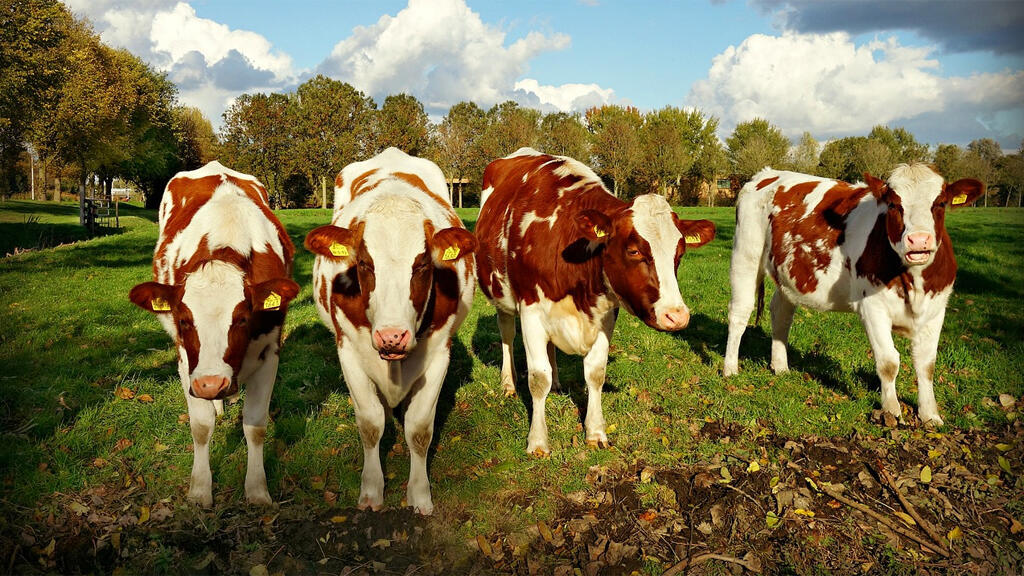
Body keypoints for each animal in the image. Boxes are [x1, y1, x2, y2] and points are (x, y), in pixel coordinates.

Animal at [128, 161, 299, 507]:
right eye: (183, 320)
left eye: (243, 318)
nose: (210, 384)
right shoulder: (186, 362)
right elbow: (201, 426)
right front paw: (199, 489)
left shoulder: (270, 354)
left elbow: (255, 425)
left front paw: (257, 489)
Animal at [304, 148, 476, 515]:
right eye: (364, 264)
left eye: (422, 264)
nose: (392, 336)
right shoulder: (348, 351)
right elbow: (370, 424)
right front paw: (371, 489)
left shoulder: (439, 353)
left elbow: (420, 429)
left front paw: (420, 493)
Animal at [475, 148, 716, 456]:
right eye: (633, 250)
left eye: (680, 253)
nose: (676, 316)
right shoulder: (531, 310)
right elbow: (538, 378)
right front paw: (538, 441)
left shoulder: (605, 314)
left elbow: (595, 373)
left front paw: (596, 431)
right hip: (501, 295)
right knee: (506, 333)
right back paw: (508, 383)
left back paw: (557, 384)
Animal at [723, 164, 984, 426]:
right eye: (893, 204)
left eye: (940, 203)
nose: (919, 240)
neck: (915, 282)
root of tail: (766, 173)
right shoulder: (873, 307)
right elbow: (889, 362)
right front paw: (891, 411)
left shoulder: (936, 310)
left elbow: (926, 364)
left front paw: (930, 415)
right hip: (745, 255)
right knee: (739, 314)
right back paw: (730, 368)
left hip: (788, 274)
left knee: (781, 313)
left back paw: (780, 366)